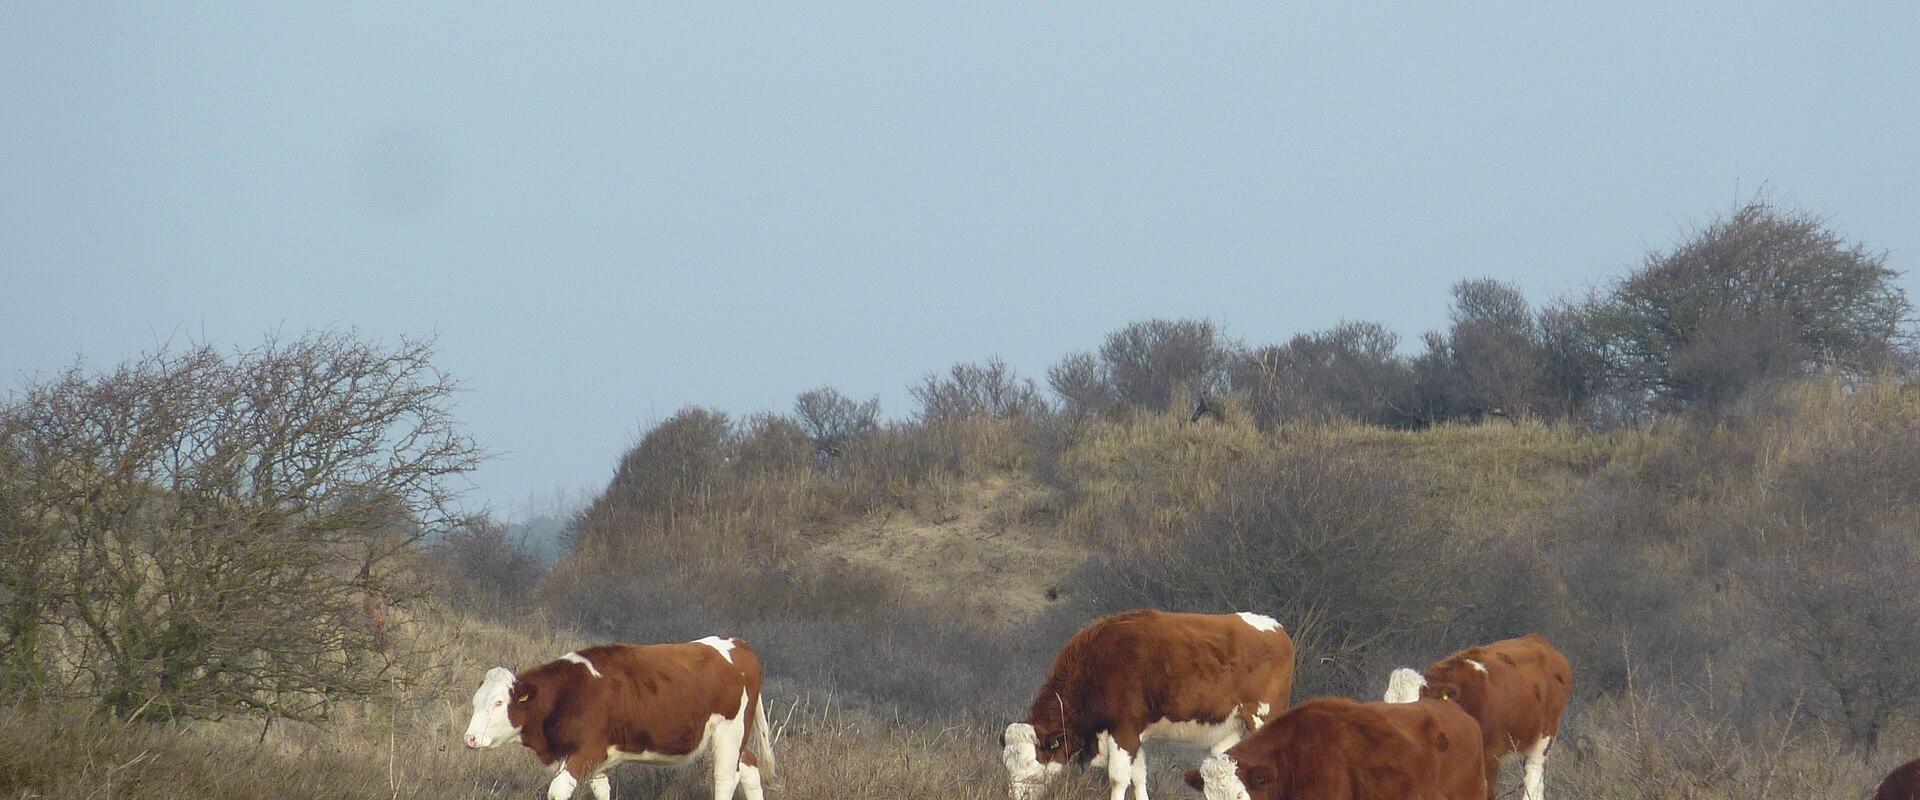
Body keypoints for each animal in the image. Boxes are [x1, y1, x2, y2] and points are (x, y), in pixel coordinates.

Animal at [464, 637, 776, 800]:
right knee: (749, 766)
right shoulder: (596, 760)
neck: (570, 692)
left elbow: (557, 791)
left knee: (725, 778)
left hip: (729, 732)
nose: (470, 738)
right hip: (734, 738)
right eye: (475, 702)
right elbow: (601, 790)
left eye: (498, 702)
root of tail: (735, 643)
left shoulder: (584, 753)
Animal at [1001, 609, 1295, 800]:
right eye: (1007, 765)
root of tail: (1276, 628)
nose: (1015, 797)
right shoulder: (1135, 735)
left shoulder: (1123, 731)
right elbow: (1138, 777)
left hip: (1263, 716)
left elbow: (1118, 779)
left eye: (1029, 762)